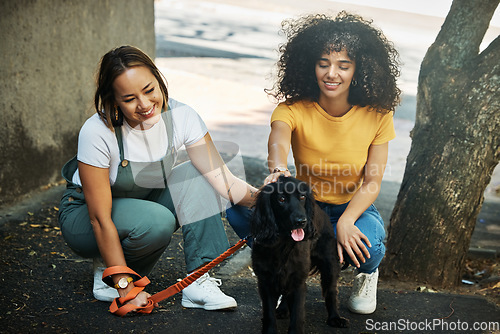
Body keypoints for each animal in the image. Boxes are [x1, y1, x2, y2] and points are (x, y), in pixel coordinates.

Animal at [250, 176, 348, 332]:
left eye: (302, 197)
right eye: (281, 199)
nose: (302, 221)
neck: (283, 245)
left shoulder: (298, 281)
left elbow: (297, 315)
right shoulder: (265, 282)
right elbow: (269, 315)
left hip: (329, 264)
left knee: (331, 291)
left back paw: (335, 318)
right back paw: (283, 309)